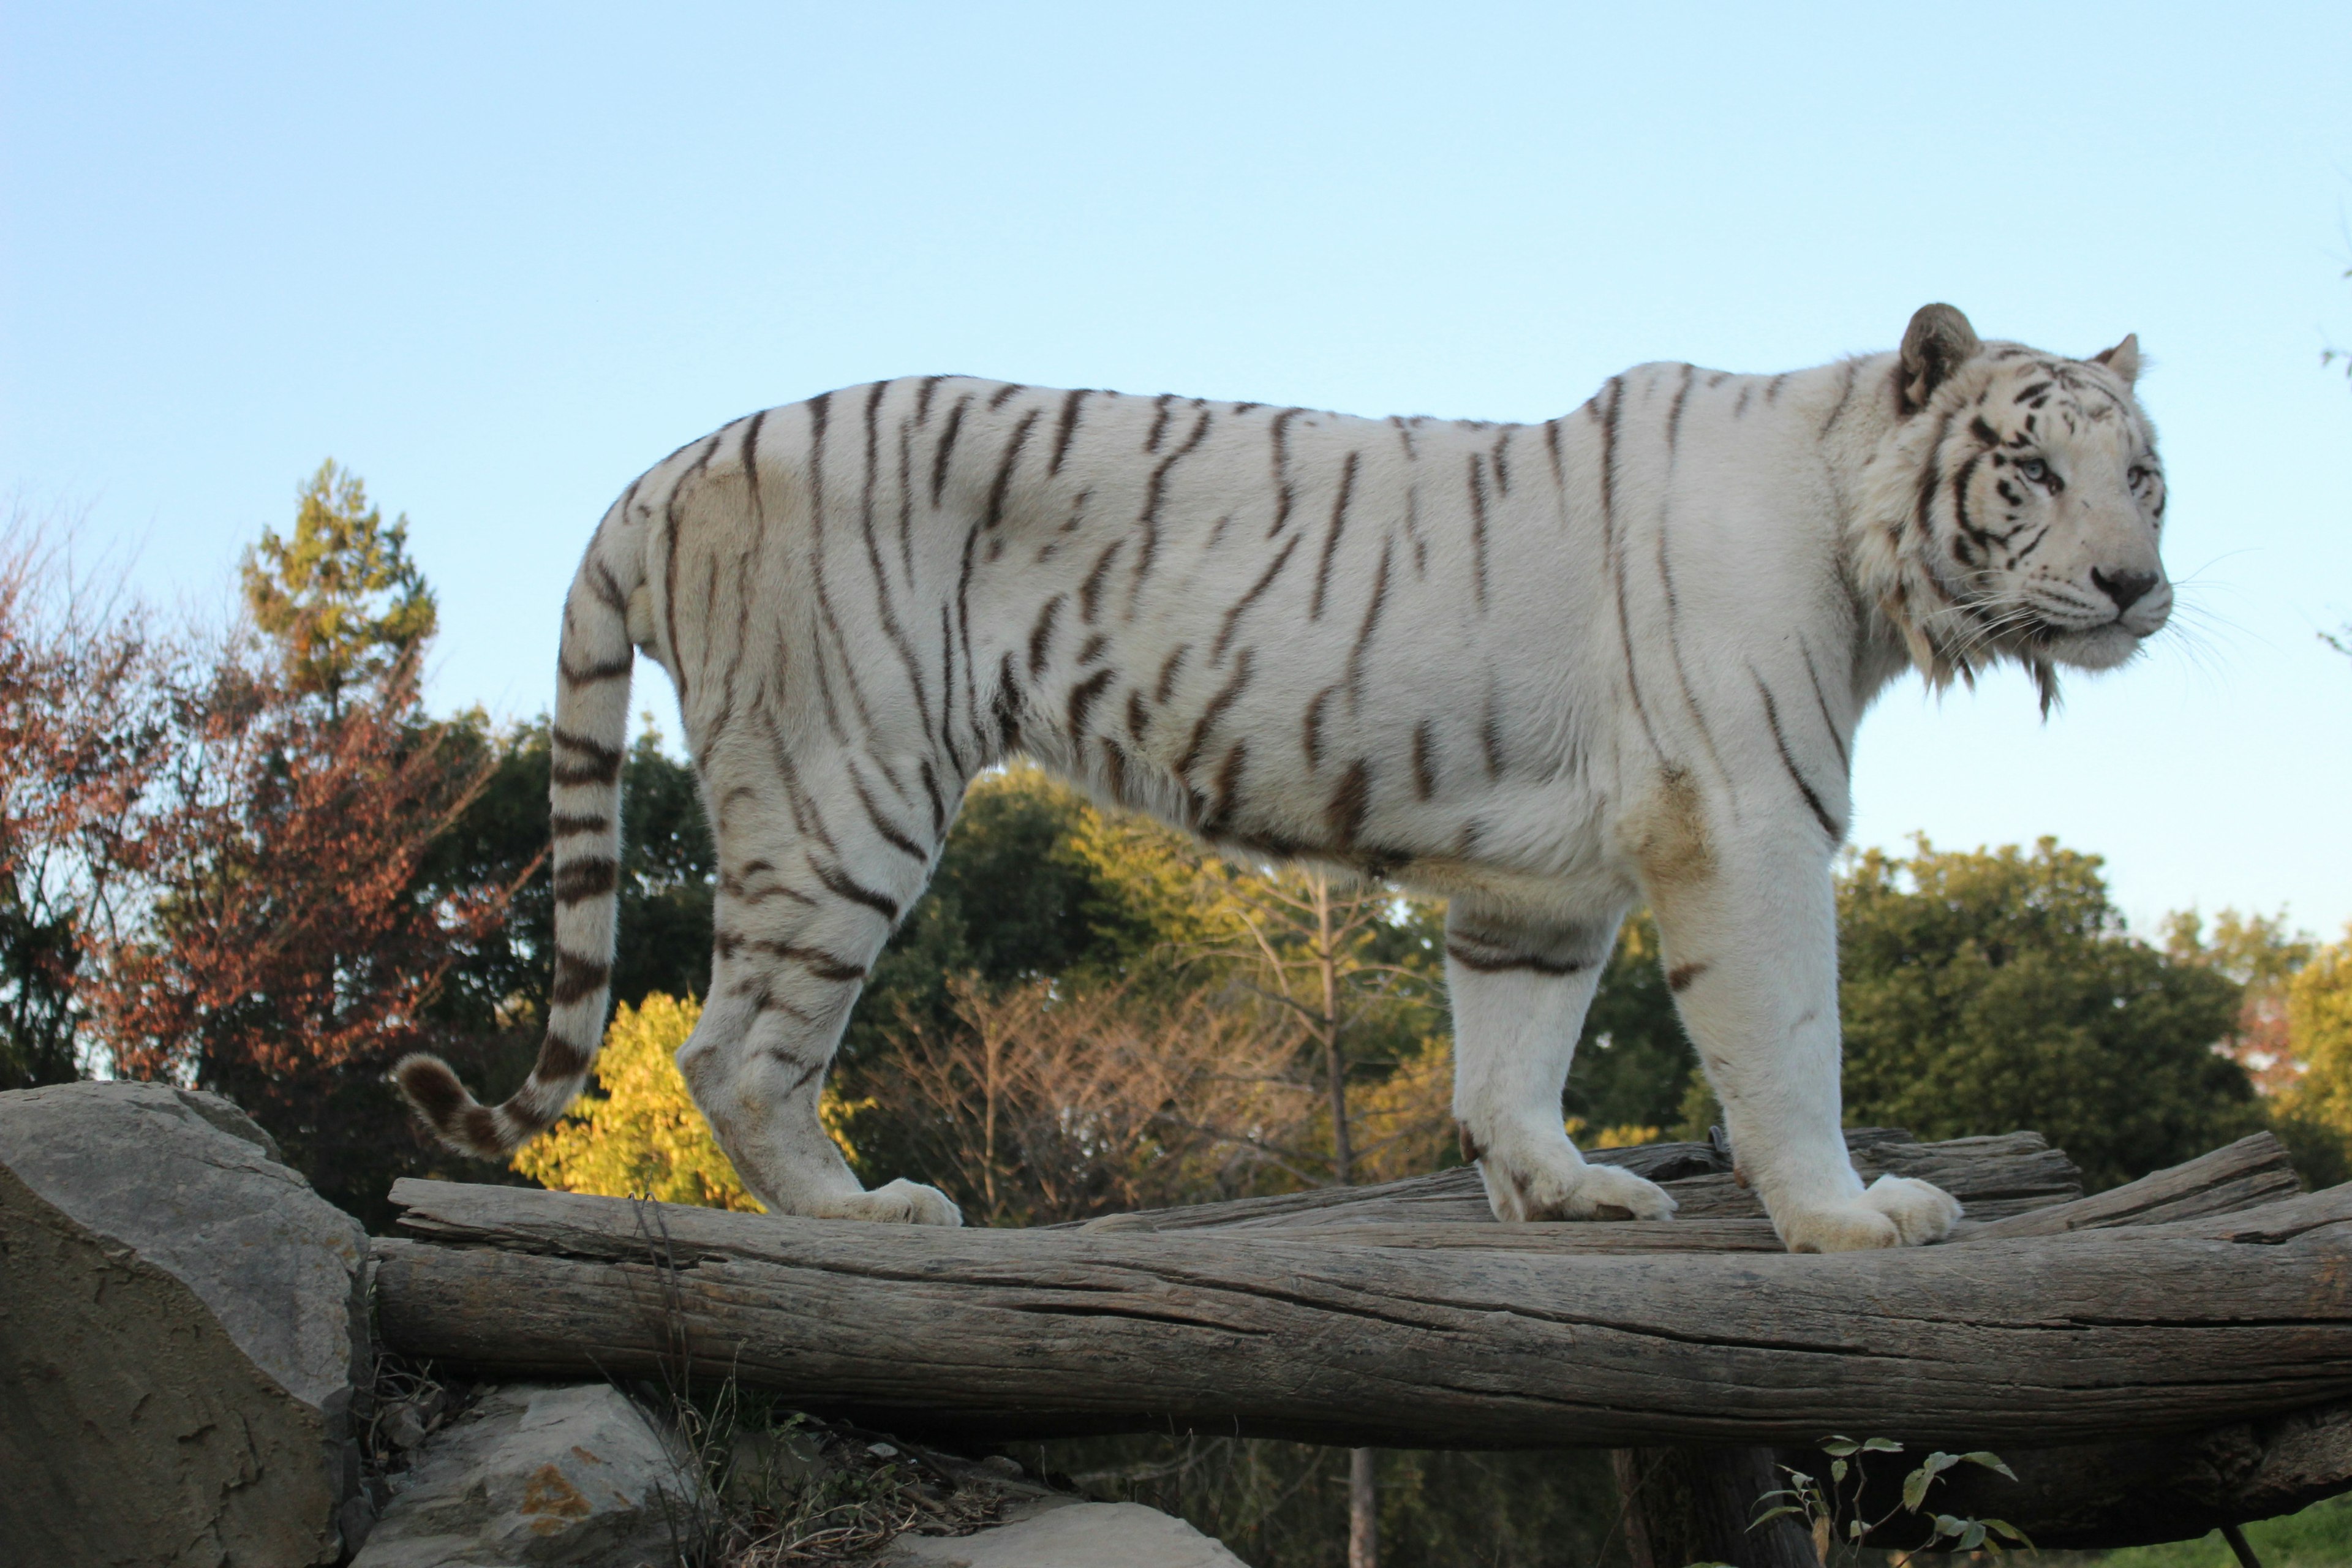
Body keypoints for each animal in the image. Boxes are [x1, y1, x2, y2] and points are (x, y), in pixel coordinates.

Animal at [399, 303, 2163, 1250]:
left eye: (2146, 472)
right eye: (2032, 468)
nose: (2140, 586)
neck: (1865, 558)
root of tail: (676, 460)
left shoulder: (1545, 880)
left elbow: (1511, 1055)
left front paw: (1561, 1190)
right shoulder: (1746, 823)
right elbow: (1795, 1045)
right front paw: (1851, 1218)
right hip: (848, 787)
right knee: (735, 1049)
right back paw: (860, 1215)